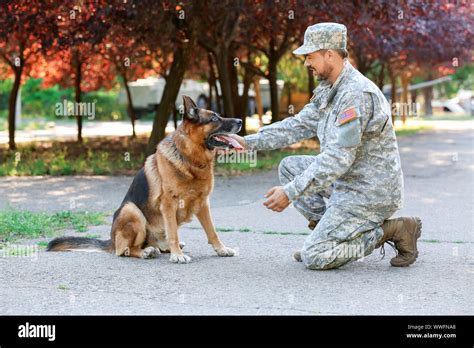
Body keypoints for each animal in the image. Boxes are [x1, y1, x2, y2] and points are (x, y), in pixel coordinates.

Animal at [46, 96, 243, 264]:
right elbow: (173, 233)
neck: (191, 159)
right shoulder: (169, 204)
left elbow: (212, 231)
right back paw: (146, 252)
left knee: (156, 244)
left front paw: (221, 249)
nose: (240, 121)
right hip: (132, 211)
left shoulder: (203, 203)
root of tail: (111, 240)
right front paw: (177, 256)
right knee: (125, 250)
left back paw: (162, 247)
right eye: (214, 118)